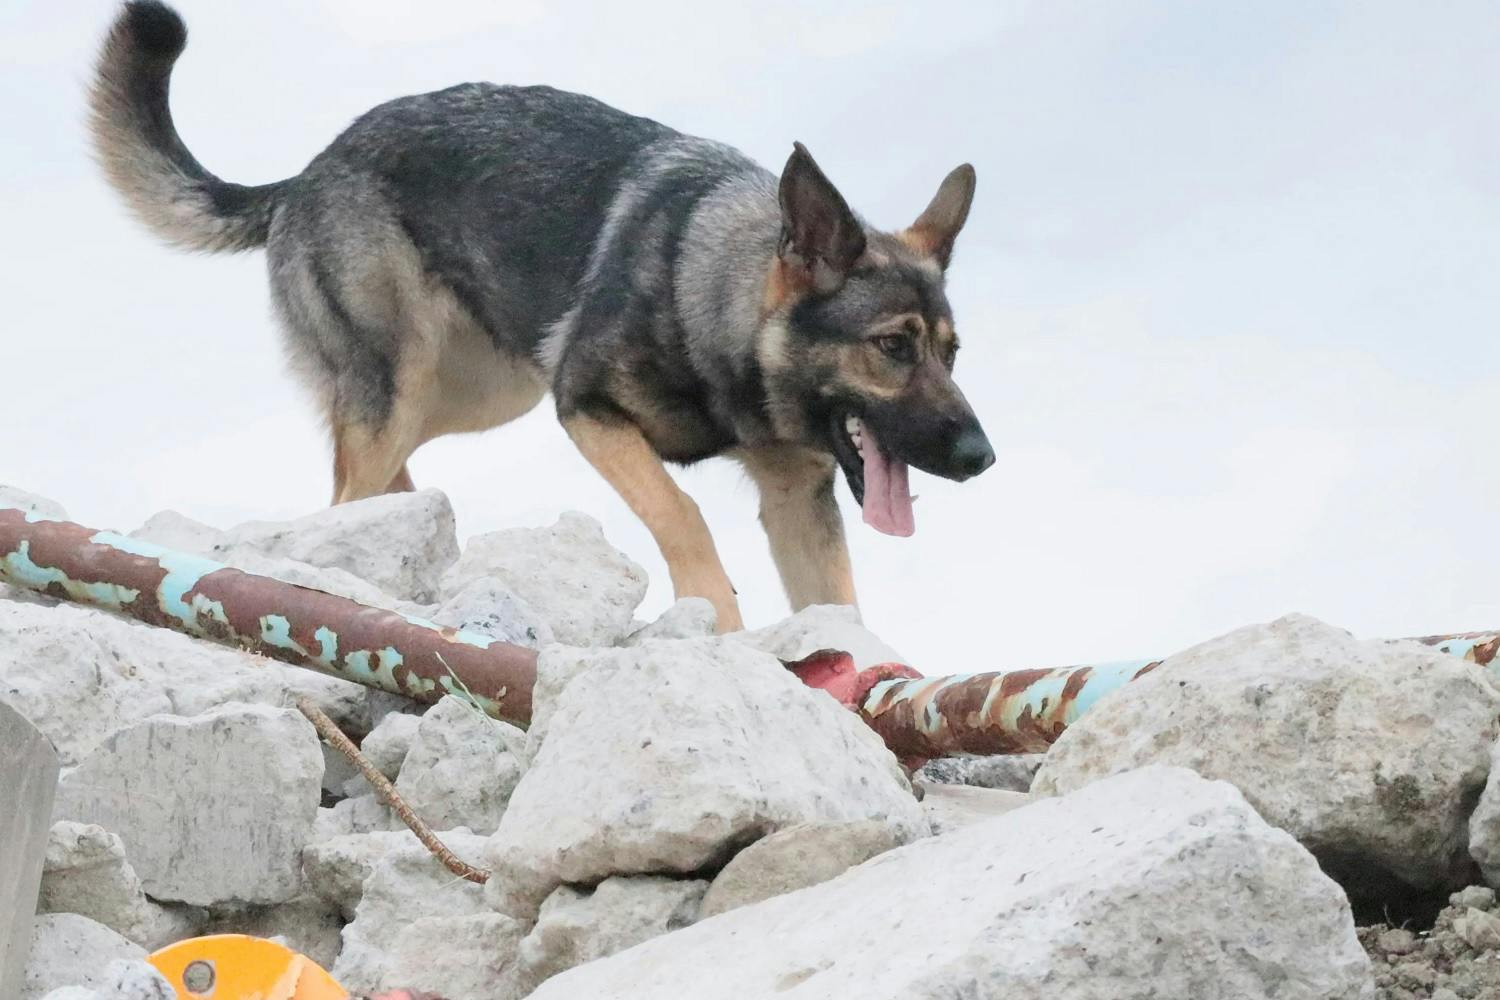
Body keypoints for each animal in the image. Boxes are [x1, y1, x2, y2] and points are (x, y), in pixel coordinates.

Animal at [87, 1, 990, 632]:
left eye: (951, 353)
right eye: (892, 347)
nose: (981, 459)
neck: (713, 302)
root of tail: (307, 171)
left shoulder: (798, 500)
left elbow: (839, 607)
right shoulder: (585, 408)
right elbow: (683, 511)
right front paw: (718, 611)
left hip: (476, 397)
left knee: (375, 482)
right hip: (407, 385)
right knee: (350, 483)